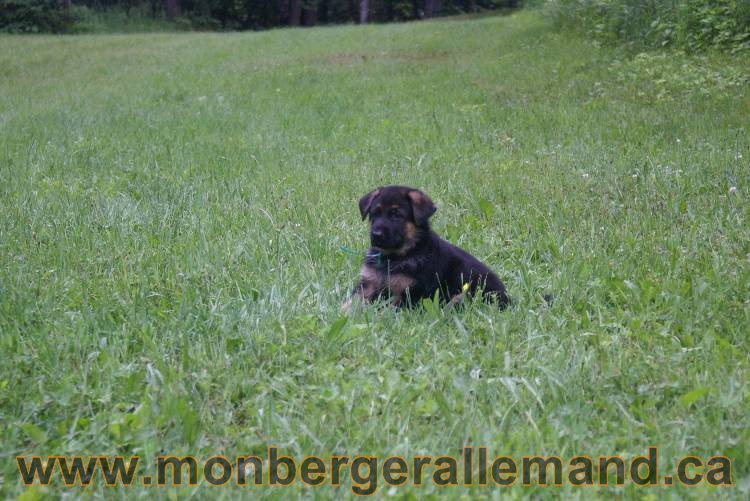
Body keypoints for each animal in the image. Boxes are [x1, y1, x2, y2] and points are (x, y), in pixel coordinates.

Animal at [346, 186, 512, 310]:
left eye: (396, 215)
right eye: (374, 214)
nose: (376, 235)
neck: (394, 256)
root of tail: (509, 300)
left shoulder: (409, 294)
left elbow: (387, 311)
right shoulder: (368, 284)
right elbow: (350, 302)